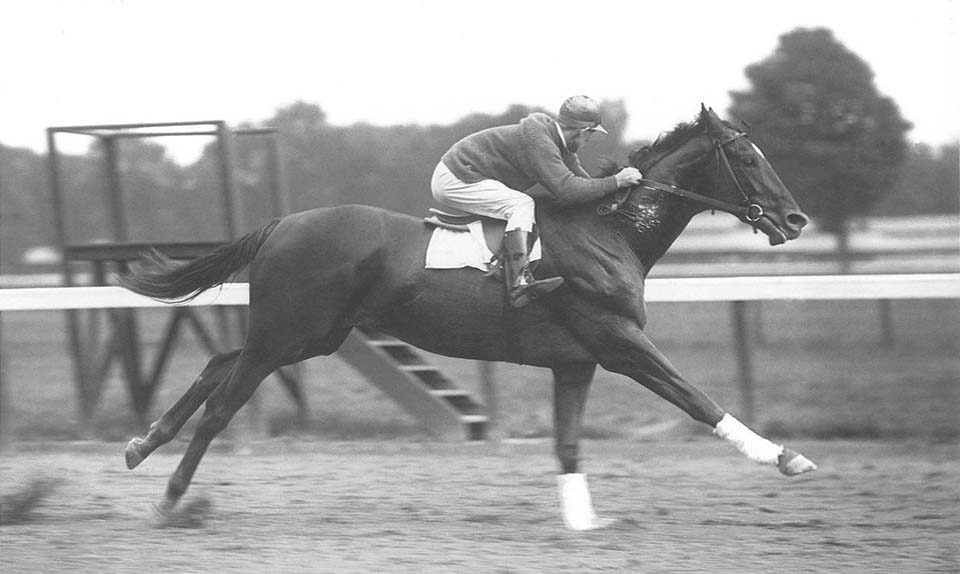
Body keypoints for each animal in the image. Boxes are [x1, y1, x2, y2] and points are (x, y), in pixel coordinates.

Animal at [121, 105, 816, 531]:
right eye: (747, 160)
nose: (795, 219)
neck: (609, 229)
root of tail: (280, 225)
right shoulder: (617, 342)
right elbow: (697, 399)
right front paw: (785, 457)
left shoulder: (577, 361)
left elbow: (568, 445)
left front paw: (582, 520)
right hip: (289, 335)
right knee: (222, 405)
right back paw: (171, 498)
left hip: (308, 336)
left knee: (218, 362)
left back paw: (142, 443)